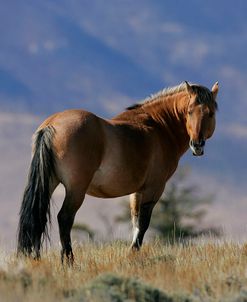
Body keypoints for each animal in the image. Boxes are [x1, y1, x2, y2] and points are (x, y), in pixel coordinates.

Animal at [16, 81, 218, 264]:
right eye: (189, 111)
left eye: (210, 113)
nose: (197, 145)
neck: (159, 126)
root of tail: (52, 125)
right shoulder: (154, 188)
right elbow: (143, 223)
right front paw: (132, 254)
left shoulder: (137, 191)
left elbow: (136, 221)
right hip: (75, 190)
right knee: (64, 219)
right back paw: (69, 261)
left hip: (49, 183)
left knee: (39, 214)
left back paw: (36, 259)